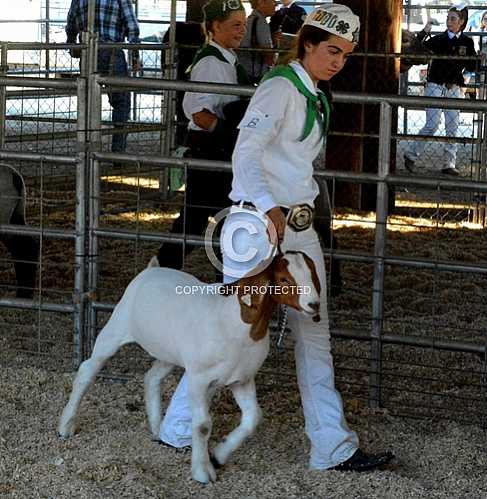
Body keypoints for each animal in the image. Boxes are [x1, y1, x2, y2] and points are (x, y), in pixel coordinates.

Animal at [59, 250, 322, 484]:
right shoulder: (198, 378)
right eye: (284, 278)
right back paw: (65, 425)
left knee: (151, 377)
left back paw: (157, 427)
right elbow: (203, 425)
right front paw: (202, 471)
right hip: (116, 328)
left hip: (168, 352)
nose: (314, 304)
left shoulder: (242, 379)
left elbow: (252, 419)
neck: (238, 322)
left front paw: (219, 455)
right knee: (87, 370)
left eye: (312, 272)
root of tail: (151, 270)